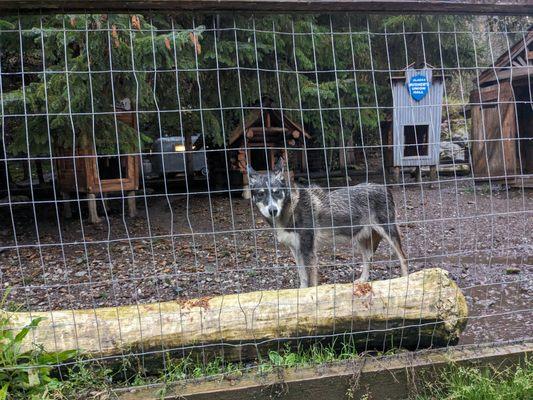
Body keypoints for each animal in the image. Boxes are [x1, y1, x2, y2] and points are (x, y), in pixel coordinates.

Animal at [246, 159, 408, 288]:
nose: (272, 210)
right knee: (368, 258)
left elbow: (311, 281)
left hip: (389, 234)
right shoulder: (296, 251)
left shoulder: (308, 252)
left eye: (277, 192)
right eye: (261, 194)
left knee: (403, 257)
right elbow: (303, 278)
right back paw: (362, 280)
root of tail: (384, 187)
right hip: (360, 239)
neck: (291, 209)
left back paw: (406, 281)